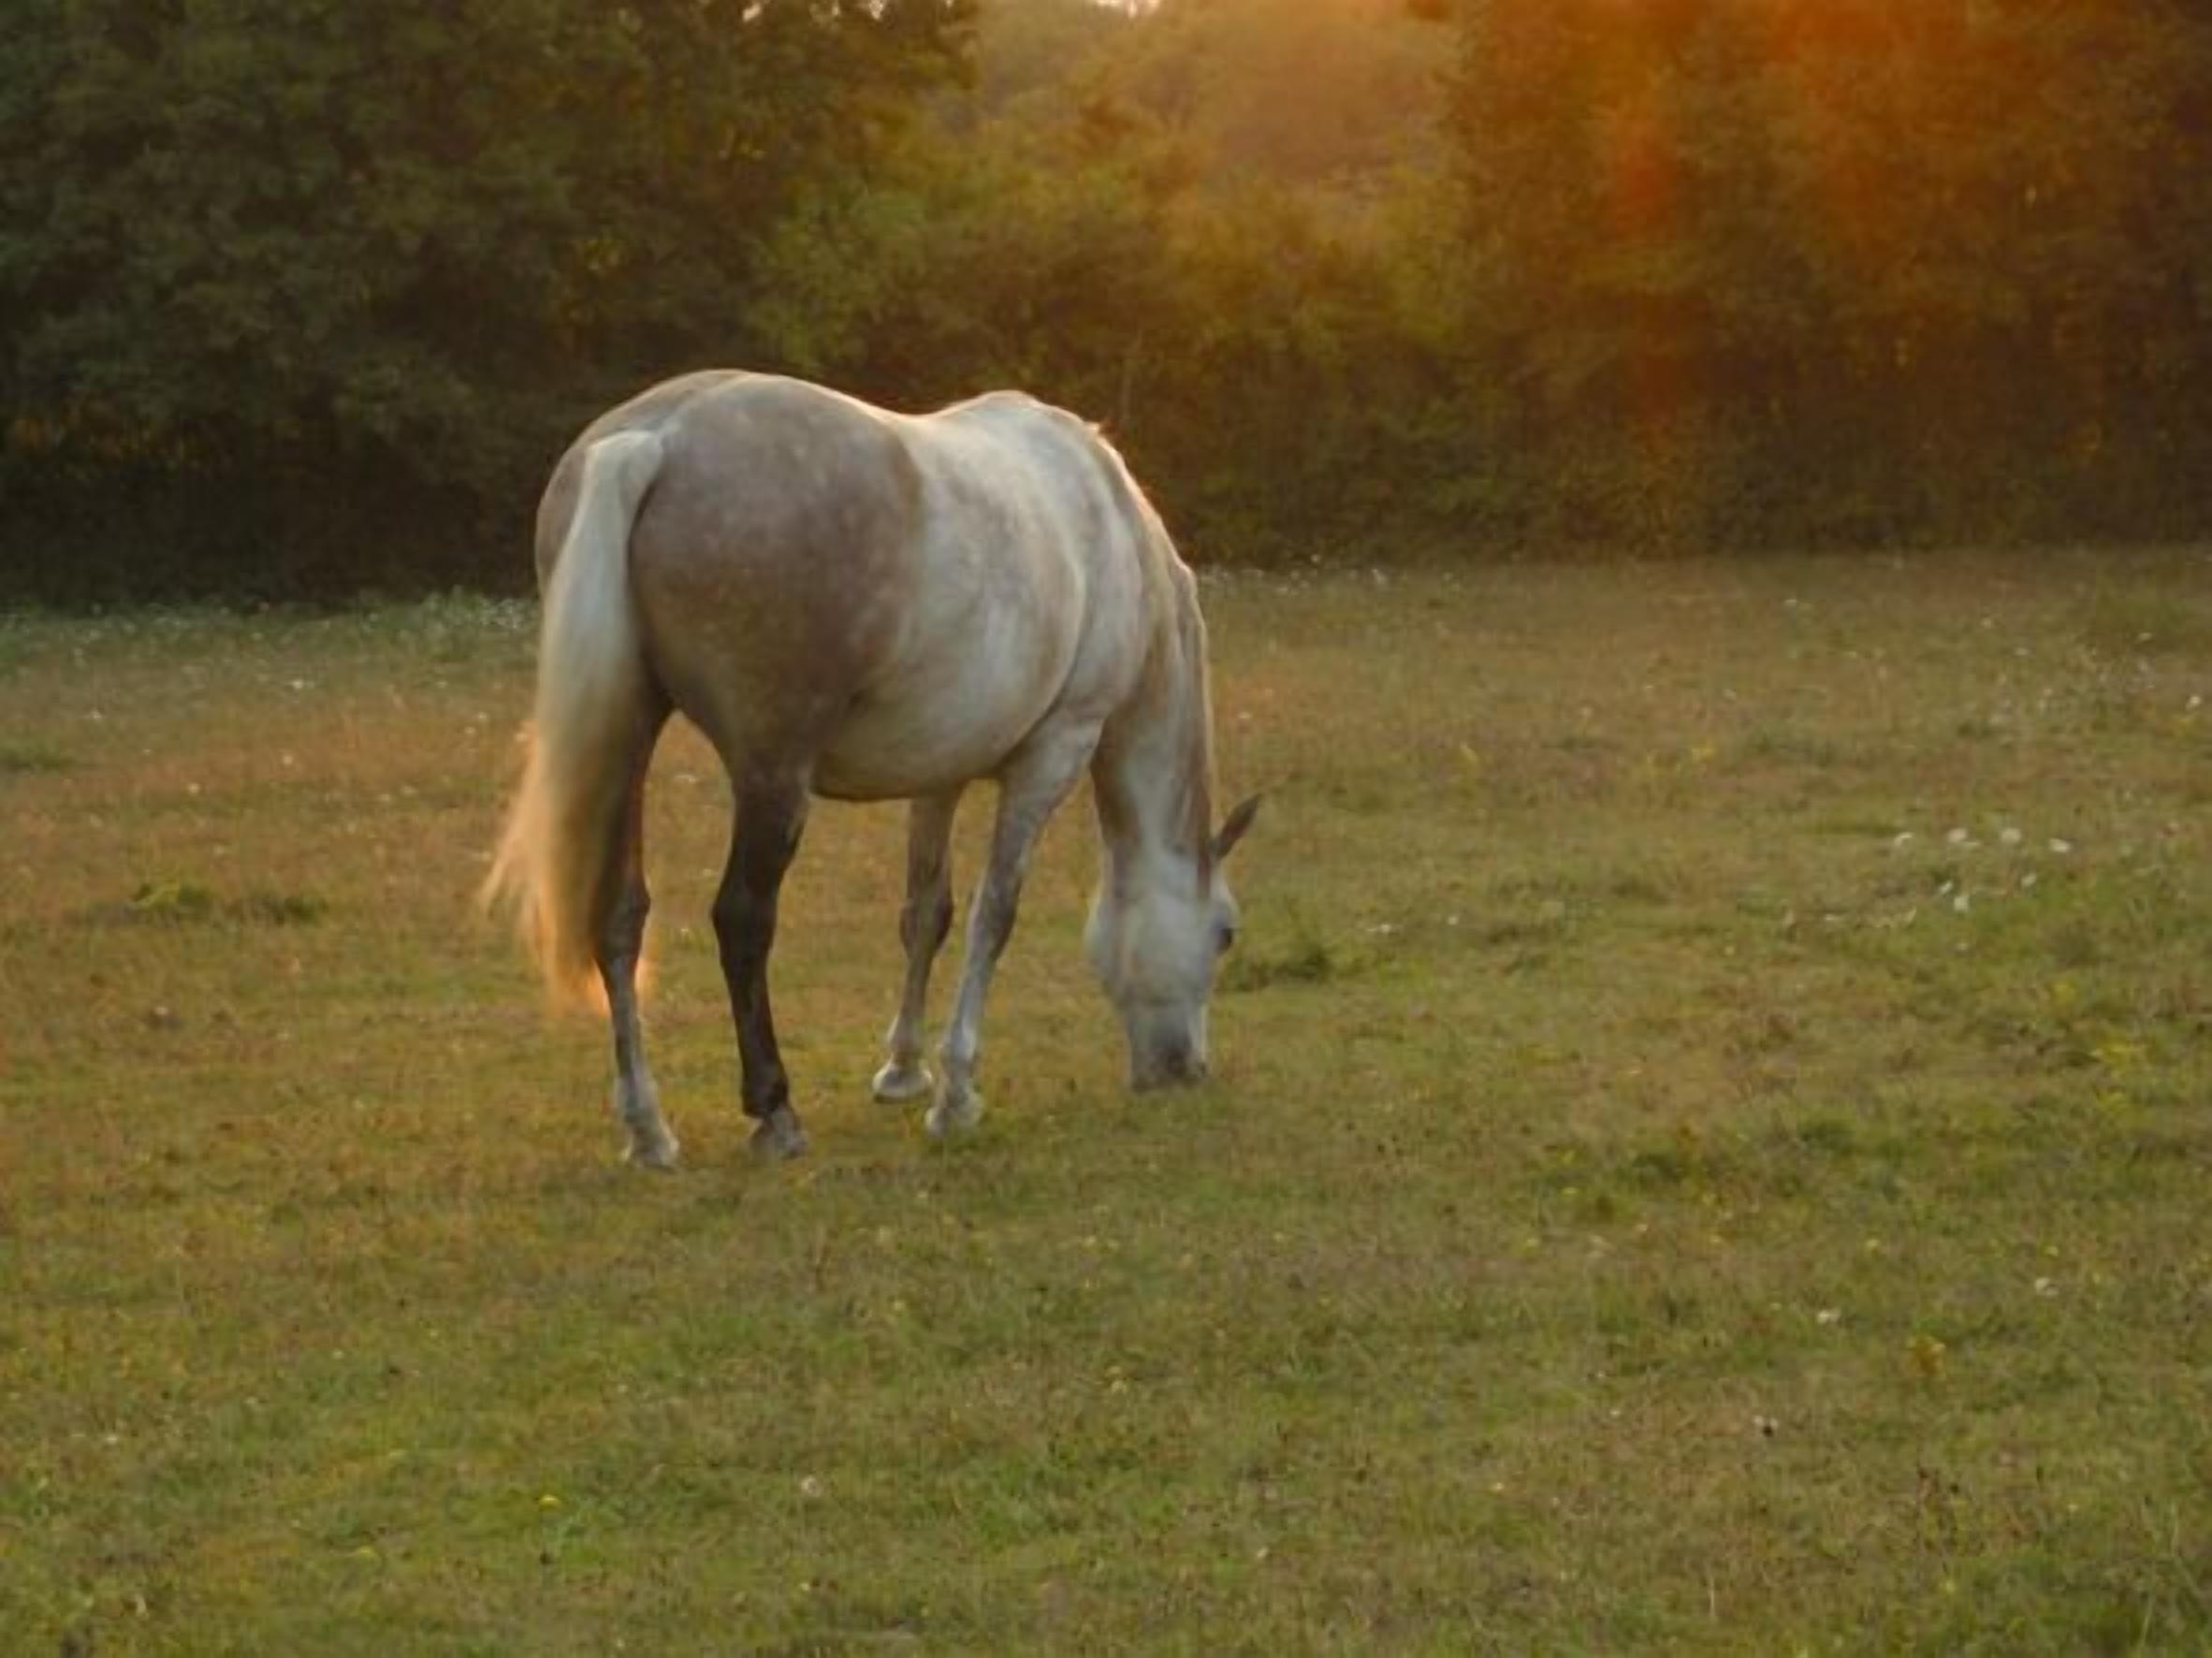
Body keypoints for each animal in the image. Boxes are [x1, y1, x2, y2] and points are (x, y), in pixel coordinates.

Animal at [484, 371, 1258, 1163]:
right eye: (1224, 932)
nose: (1183, 1070)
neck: (1107, 524)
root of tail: (656, 439)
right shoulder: (1052, 755)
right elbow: (994, 916)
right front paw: (955, 1095)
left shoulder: (942, 771)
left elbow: (927, 913)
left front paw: (903, 1071)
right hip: (773, 777)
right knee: (742, 920)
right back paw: (774, 1112)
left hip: (629, 740)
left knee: (618, 917)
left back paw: (648, 1129)